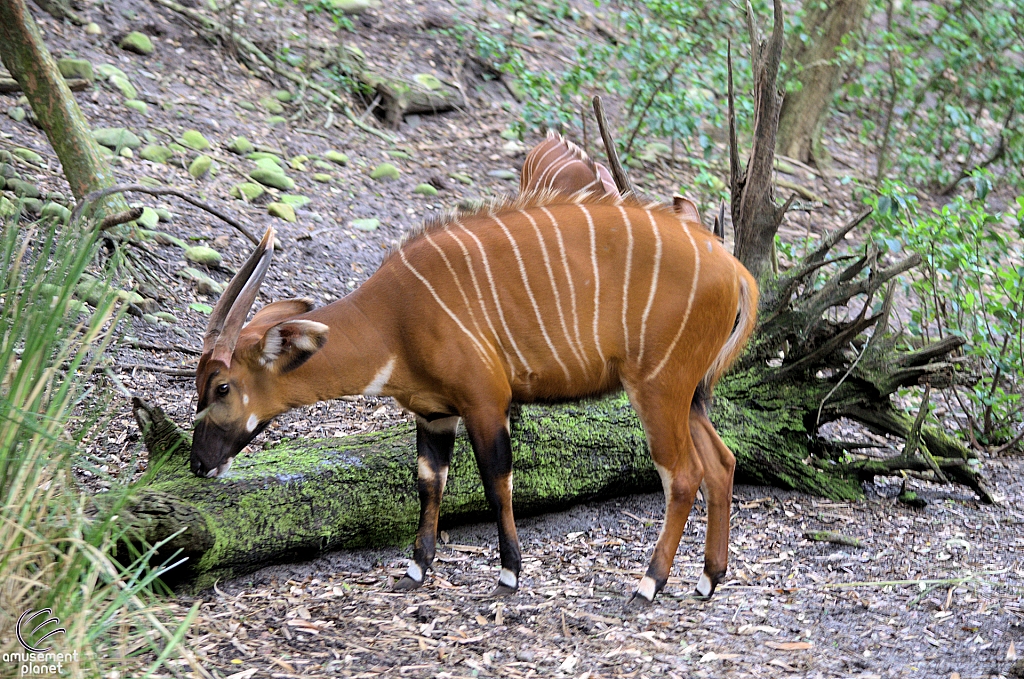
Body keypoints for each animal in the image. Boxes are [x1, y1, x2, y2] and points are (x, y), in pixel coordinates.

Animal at [192, 189, 757, 602]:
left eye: (221, 386)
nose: (198, 464)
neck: (395, 318)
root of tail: (737, 272)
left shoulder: (486, 402)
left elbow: (496, 481)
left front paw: (509, 575)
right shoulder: (435, 415)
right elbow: (430, 481)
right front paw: (416, 570)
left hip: (658, 387)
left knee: (682, 475)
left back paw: (648, 584)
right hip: (689, 395)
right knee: (721, 463)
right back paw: (708, 580)